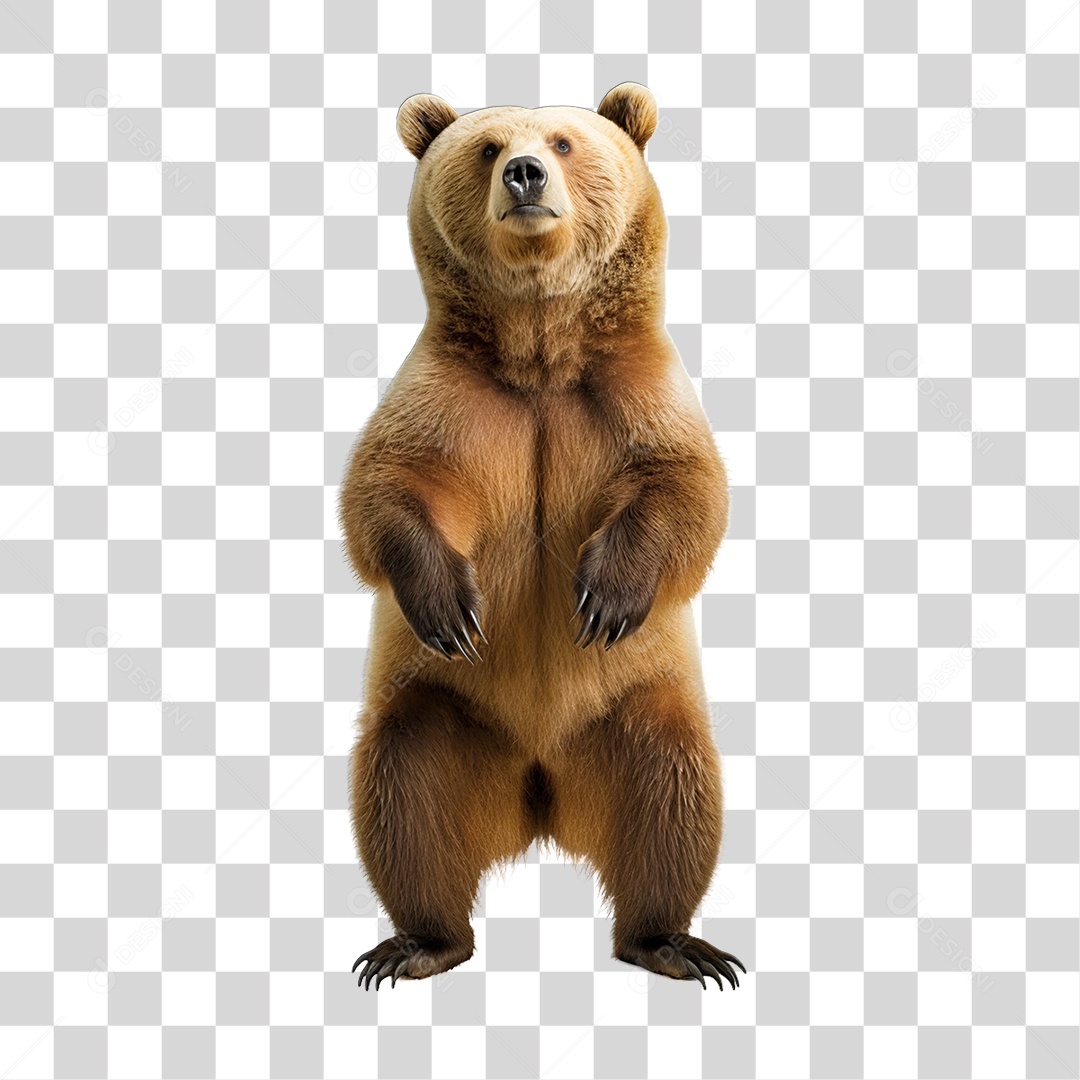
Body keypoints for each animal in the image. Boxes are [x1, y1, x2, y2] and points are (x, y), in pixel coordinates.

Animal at [340, 83, 744, 992]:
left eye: (562, 140)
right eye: (487, 146)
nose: (525, 172)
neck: (539, 355)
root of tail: (539, 794)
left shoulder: (635, 394)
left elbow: (687, 493)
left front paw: (604, 596)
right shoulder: (449, 402)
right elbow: (384, 491)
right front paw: (450, 606)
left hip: (636, 710)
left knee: (677, 793)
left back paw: (674, 943)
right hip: (444, 716)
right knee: (402, 790)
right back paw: (418, 943)